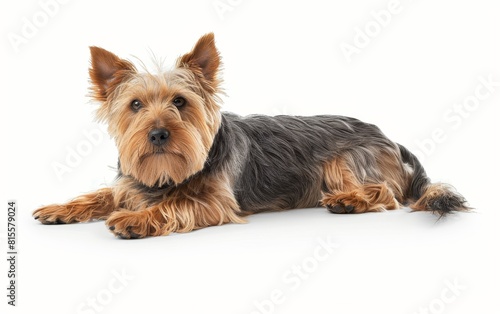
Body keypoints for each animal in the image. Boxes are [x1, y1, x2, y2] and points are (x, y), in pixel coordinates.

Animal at [33, 33, 470, 238]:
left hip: (343, 161)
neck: (168, 172)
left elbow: (176, 204)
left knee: (386, 193)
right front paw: (61, 208)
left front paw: (136, 219)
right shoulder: (132, 181)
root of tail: (390, 138)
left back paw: (349, 201)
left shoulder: (215, 201)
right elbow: (102, 194)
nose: (157, 134)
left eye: (180, 102)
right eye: (135, 105)